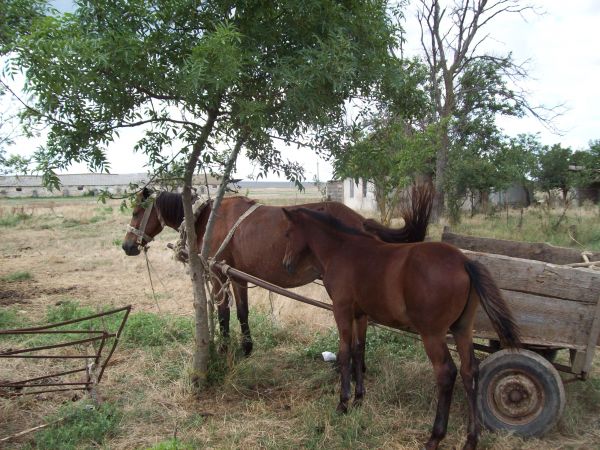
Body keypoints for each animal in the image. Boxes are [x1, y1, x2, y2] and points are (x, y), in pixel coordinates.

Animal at [123, 183, 432, 356]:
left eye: (137, 212)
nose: (127, 246)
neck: (207, 217)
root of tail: (361, 221)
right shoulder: (237, 276)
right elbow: (242, 311)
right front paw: (246, 347)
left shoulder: (219, 275)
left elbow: (223, 313)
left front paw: (224, 349)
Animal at [282, 208, 520, 450]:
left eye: (288, 234)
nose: (286, 264)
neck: (341, 251)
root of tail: (464, 261)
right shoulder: (360, 314)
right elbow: (359, 350)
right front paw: (359, 398)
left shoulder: (341, 310)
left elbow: (345, 352)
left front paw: (343, 403)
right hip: (462, 328)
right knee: (469, 370)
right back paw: (471, 439)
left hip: (432, 334)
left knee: (446, 373)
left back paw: (435, 437)